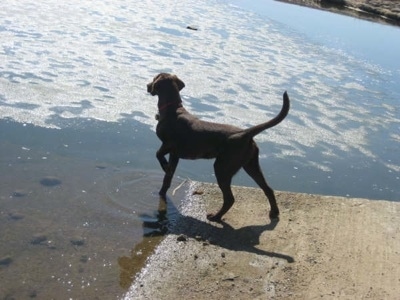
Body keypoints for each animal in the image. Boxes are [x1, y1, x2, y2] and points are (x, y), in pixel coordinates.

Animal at [148, 73, 290, 223]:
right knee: (268, 189)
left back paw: (216, 217)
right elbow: (167, 179)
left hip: (222, 168)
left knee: (230, 199)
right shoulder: (174, 154)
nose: (147, 86)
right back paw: (274, 212)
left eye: (153, 79)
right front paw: (162, 190)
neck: (172, 109)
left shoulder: (169, 145)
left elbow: (158, 154)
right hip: (251, 165)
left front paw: (164, 166)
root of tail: (246, 133)